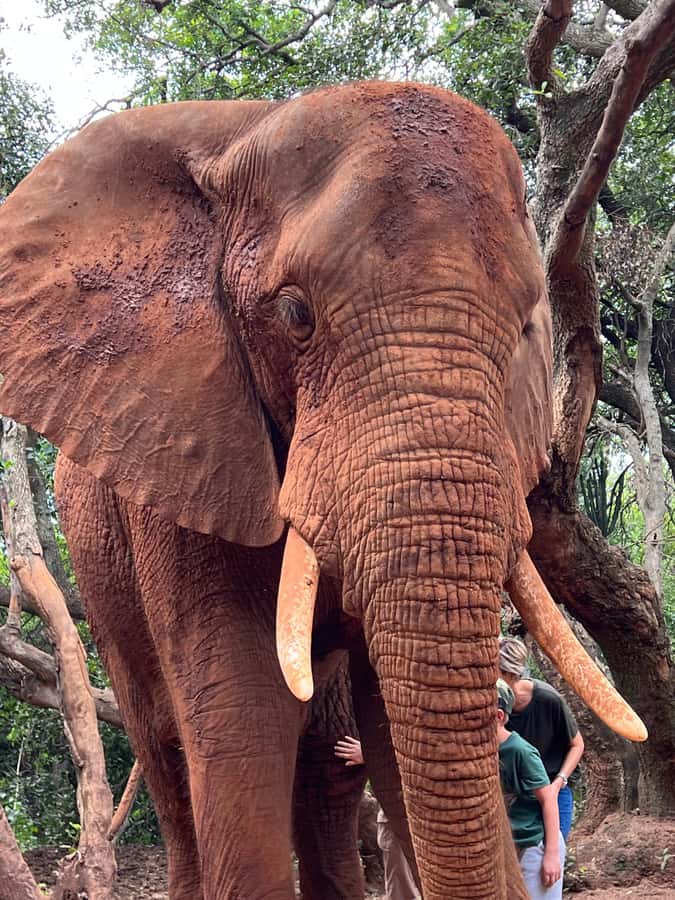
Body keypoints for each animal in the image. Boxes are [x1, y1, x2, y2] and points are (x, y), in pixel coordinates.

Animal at [0, 81, 646, 899]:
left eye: (528, 326)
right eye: (294, 314)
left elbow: (389, 732)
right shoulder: (185, 460)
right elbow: (240, 721)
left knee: (325, 776)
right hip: (102, 574)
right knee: (170, 760)